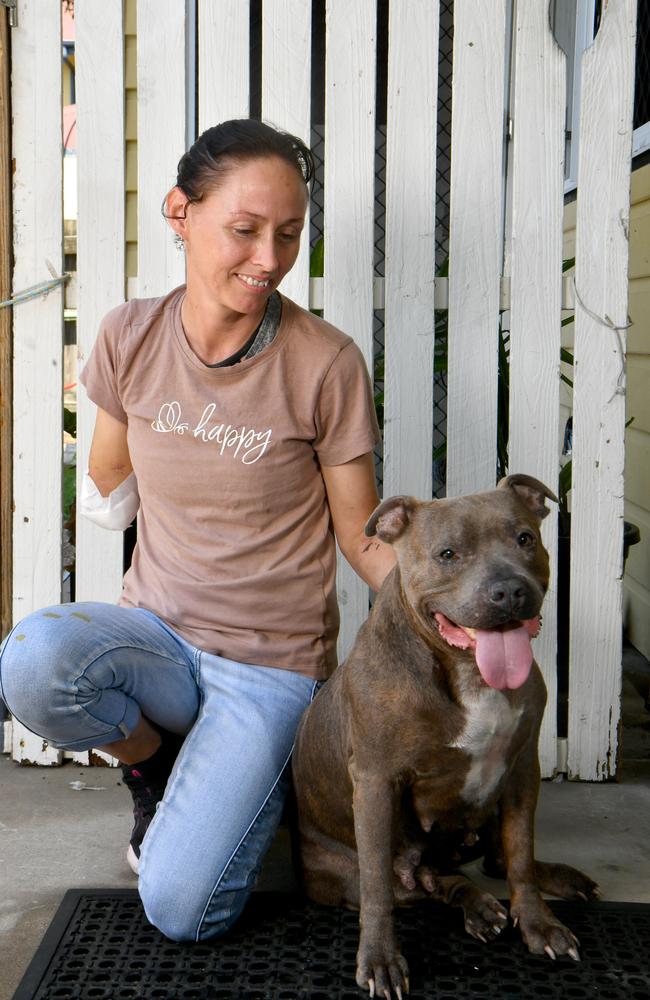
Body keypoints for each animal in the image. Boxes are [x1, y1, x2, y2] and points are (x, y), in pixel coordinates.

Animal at [292, 476, 596, 1000]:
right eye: (447, 554)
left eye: (524, 538)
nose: (509, 590)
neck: (468, 672)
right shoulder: (375, 783)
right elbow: (377, 888)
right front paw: (379, 959)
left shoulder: (522, 769)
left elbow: (521, 853)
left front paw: (538, 924)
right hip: (350, 868)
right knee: (427, 885)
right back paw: (476, 906)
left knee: (495, 860)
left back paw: (539, 884)